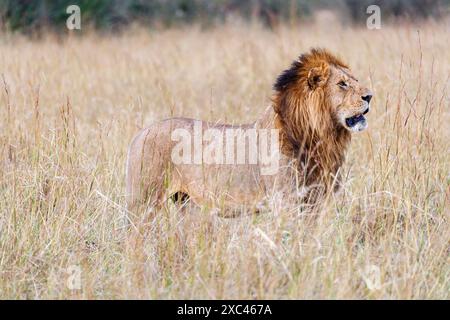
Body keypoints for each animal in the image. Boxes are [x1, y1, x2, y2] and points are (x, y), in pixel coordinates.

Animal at [125, 48, 370, 225]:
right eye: (342, 84)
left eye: (355, 80)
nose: (370, 96)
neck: (321, 136)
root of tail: (141, 133)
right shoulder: (286, 201)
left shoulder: (315, 201)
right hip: (143, 201)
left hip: (185, 203)